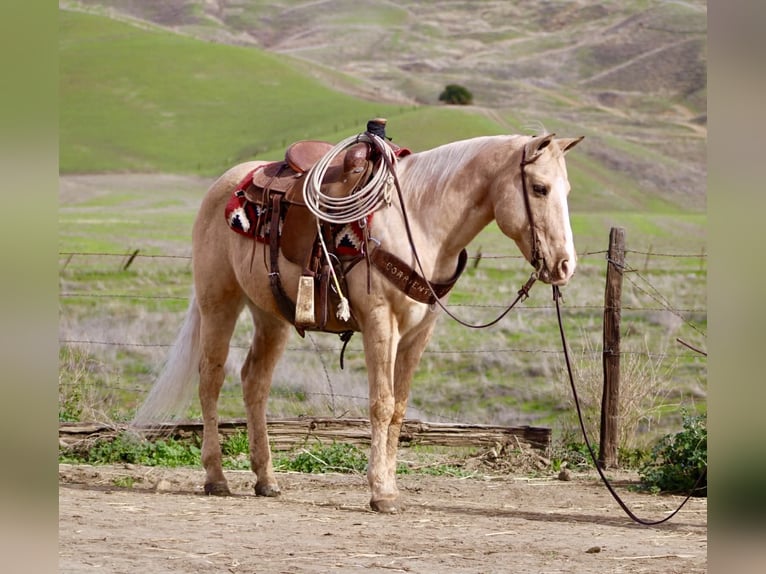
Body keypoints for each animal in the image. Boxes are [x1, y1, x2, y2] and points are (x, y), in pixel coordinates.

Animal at [133, 131, 584, 513]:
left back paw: (266, 480)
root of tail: (225, 185)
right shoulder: (382, 323)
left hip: (270, 314)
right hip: (219, 302)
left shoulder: (420, 332)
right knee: (211, 378)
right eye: (539, 188)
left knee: (254, 382)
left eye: (567, 191)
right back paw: (216, 477)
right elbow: (381, 404)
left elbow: (399, 408)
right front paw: (380, 492)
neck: (420, 220)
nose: (564, 266)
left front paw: (390, 485)